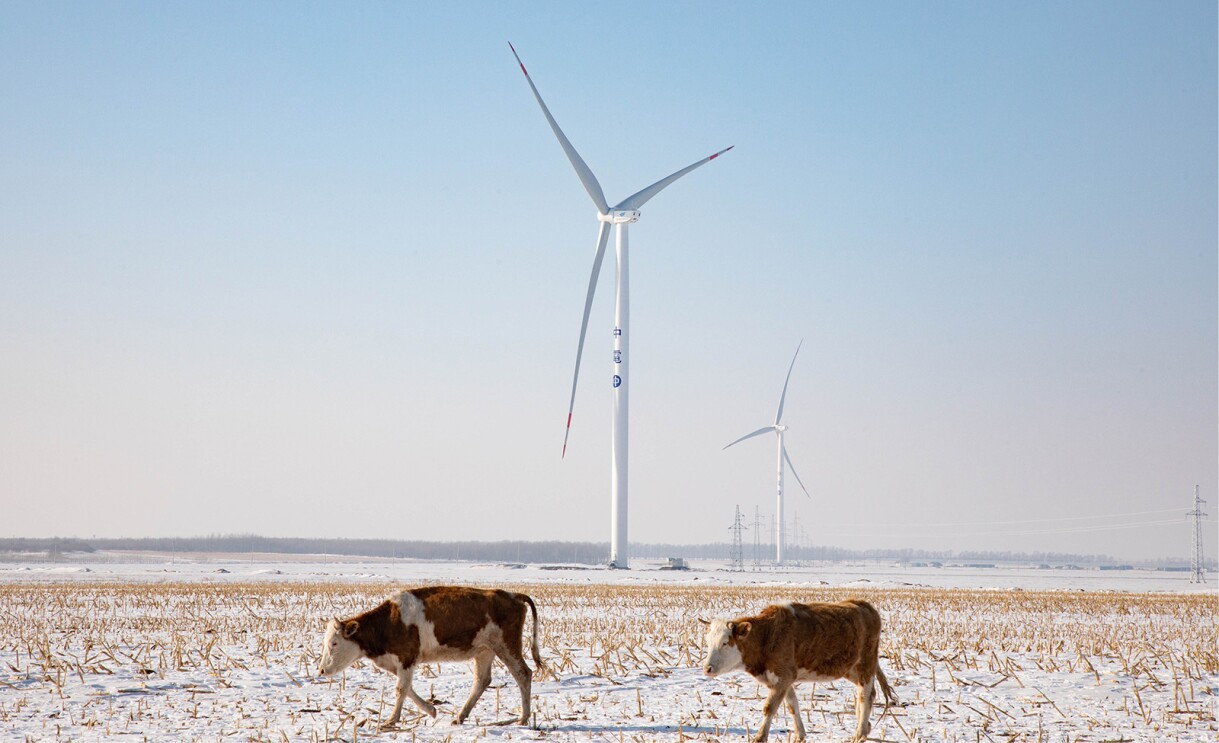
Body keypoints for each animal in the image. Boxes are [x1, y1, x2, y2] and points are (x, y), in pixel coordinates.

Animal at [316, 582, 546, 725]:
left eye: (334, 643)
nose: (322, 670)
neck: (390, 621)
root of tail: (512, 595)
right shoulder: (399, 663)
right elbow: (407, 689)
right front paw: (431, 710)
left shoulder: (407, 658)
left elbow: (401, 689)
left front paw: (391, 720)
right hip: (485, 651)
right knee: (482, 681)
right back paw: (459, 717)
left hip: (506, 646)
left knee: (523, 674)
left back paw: (523, 718)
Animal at [707, 596, 897, 740]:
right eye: (709, 641)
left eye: (725, 643)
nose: (707, 668)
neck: (767, 636)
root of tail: (863, 605)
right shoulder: (781, 679)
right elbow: (792, 705)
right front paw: (800, 734)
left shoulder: (784, 676)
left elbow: (769, 707)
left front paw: (760, 737)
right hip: (850, 668)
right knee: (867, 693)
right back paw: (865, 728)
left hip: (866, 663)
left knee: (865, 696)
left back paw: (859, 733)